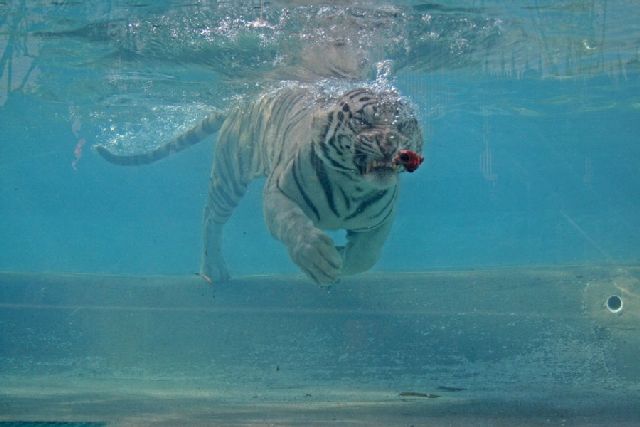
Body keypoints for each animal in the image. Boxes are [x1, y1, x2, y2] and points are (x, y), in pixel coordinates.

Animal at [95, 83, 422, 284]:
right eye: (363, 121)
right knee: (210, 219)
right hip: (228, 177)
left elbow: (368, 254)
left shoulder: (383, 218)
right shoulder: (278, 193)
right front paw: (317, 259)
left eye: (404, 124)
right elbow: (295, 226)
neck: (354, 186)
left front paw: (341, 259)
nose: (390, 142)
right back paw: (213, 270)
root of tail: (240, 105)